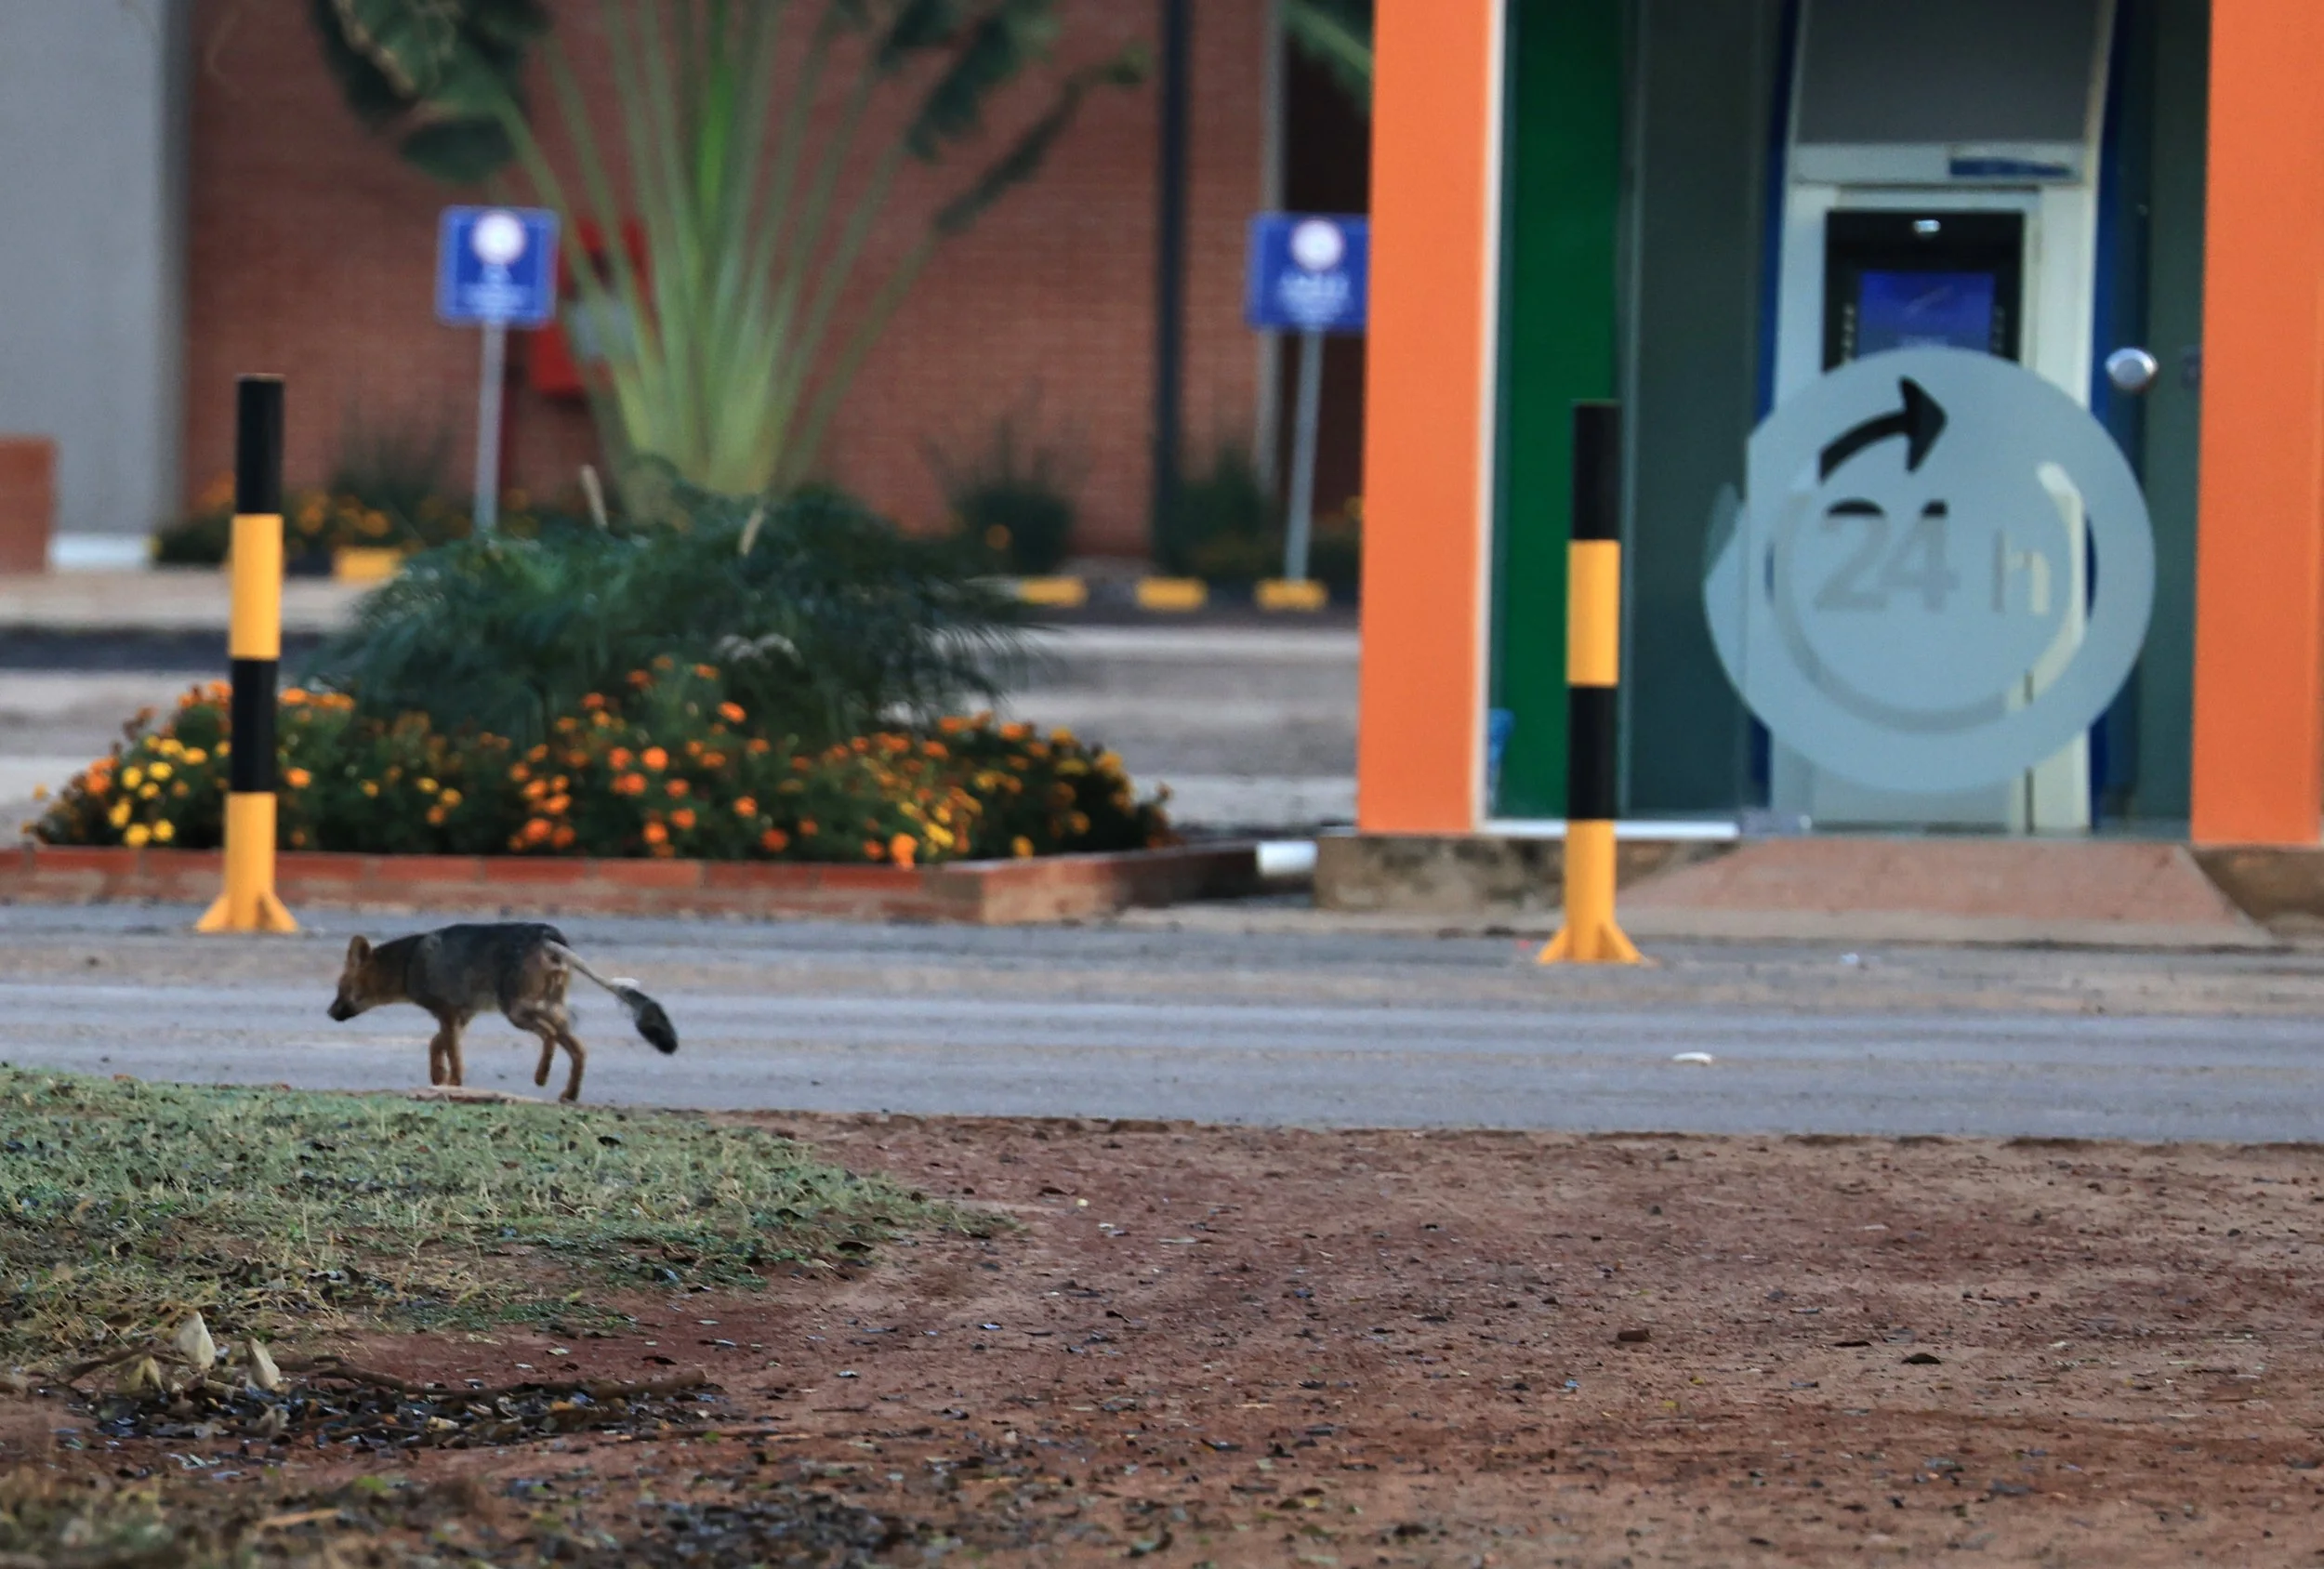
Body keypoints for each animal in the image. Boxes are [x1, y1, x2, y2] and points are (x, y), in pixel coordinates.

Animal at [327, 921, 678, 1103]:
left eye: (340, 988)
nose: (330, 1013)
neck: (408, 962)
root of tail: (547, 936)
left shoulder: (448, 1014)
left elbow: (451, 1053)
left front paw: (452, 1084)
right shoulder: (460, 1016)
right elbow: (436, 1045)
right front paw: (439, 1077)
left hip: (518, 1013)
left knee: (550, 1036)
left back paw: (541, 1076)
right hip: (546, 1010)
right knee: (578, 1047)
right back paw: (569, 1093)